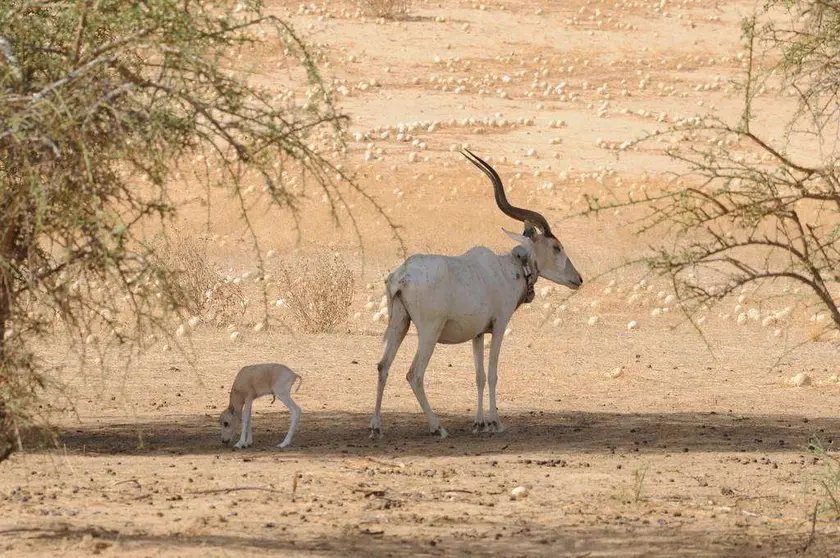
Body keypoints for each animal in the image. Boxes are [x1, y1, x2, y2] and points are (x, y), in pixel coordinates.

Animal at [370, 151, 580, 440]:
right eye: (557, 246)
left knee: (383, 366)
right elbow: (492, 374)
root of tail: (401, 276)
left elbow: (478, 375)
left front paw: (480, 423)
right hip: (429, 331)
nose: (578, 279)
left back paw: (376, 427)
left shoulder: (478, 334)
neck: (508, 269)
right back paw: (438, 428)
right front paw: (497, 423)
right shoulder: (499, 326)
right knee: (414, 373)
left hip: (399, 323)